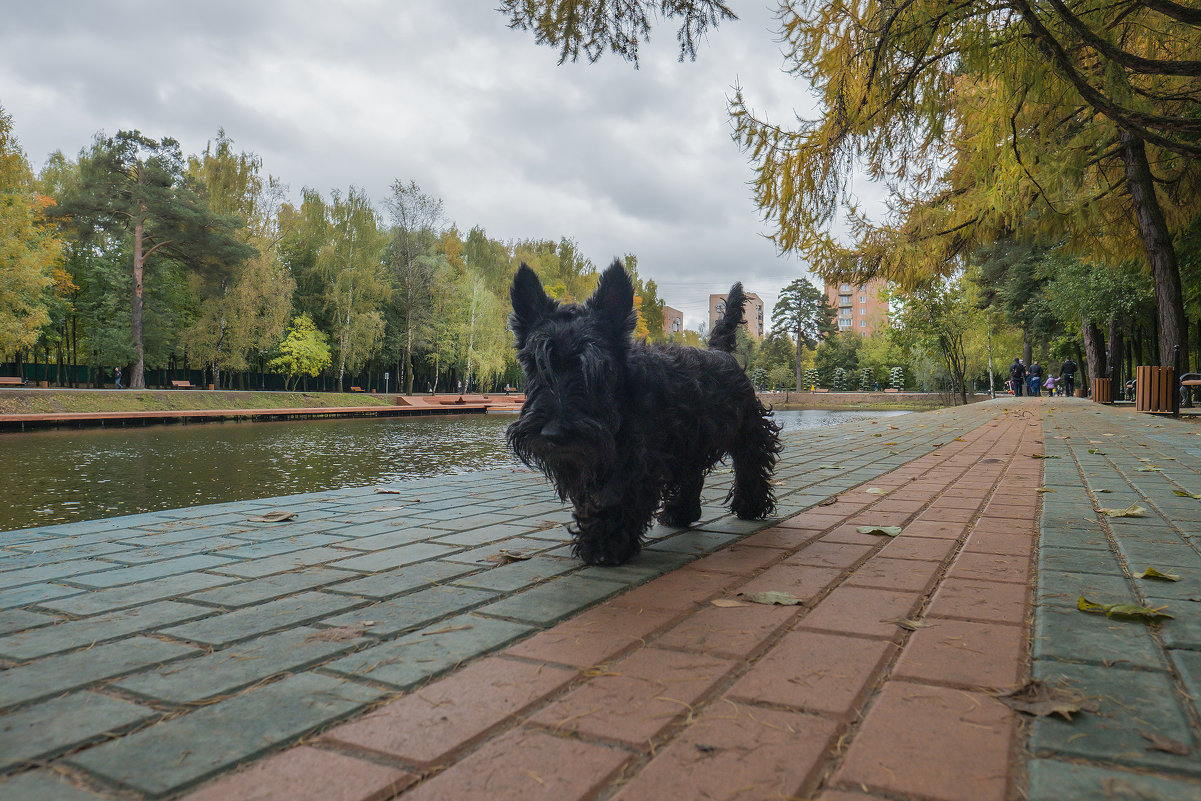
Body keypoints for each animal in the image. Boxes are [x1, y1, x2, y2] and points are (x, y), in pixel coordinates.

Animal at [504, 260, 778, 566]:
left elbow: (614, 496)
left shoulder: (635, 459)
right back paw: (680, 512)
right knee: (692, 475)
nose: (553, 433)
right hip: (689, 443)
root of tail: (720, 352)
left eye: (597, 365)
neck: (620, 396)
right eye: (537, 363)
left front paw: (603, 545)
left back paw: (750, 505)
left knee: (751, 464)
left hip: (748, 431)